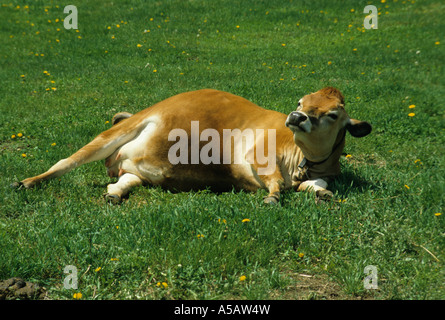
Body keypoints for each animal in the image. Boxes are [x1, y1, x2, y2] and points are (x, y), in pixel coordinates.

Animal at [12, 86, 370, 204]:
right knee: (66, 162)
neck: (302, 161)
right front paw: (273, 196)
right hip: (112, 135)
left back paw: (114, 195)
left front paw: (321, 193)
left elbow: (318, 185)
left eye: (333, 113)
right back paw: (28, 182)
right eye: (300, 101)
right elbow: (276, 182)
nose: (296, 117)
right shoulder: (257, 154)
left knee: (124, 179)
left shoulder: (322, 173)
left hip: (137, 169)